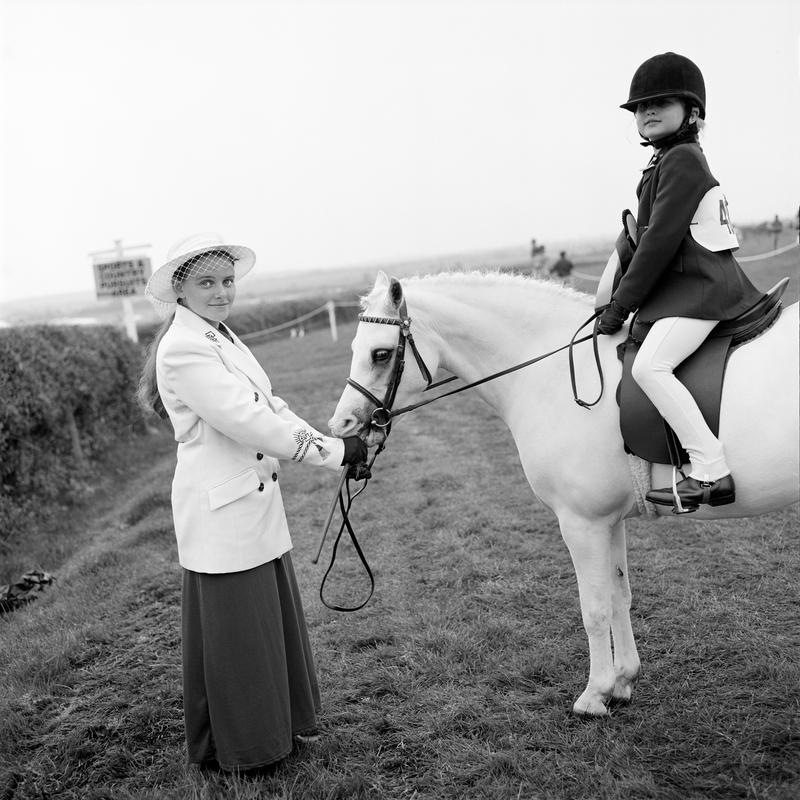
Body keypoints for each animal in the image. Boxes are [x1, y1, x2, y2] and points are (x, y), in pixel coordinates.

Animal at [328, 272, 796, 716]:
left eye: (381, 354)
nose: (342, 425)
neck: (551, 374)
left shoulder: (580, 523)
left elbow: (594, 608)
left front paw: (595, 695)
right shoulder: (608, 520)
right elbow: (619, 596)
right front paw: (623, 682)